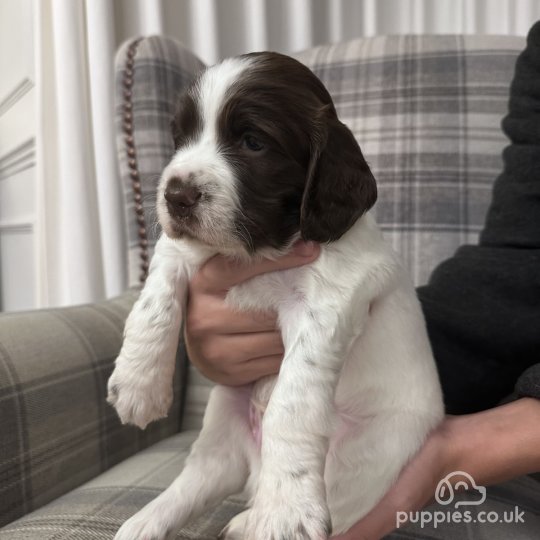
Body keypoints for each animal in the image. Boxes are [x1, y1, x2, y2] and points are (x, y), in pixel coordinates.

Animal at [108, 51, 442, 540]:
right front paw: (138, 383)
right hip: (224, 424)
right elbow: (155, 300)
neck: (262, 248)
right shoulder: (184, 248)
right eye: (181, 138)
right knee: (198, 477)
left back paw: (254, 518)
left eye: (253, 142)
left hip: (367, 456)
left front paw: (287, 512)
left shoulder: (328, 305)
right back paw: (144, 522)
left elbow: (292, 401)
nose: (176, 195)